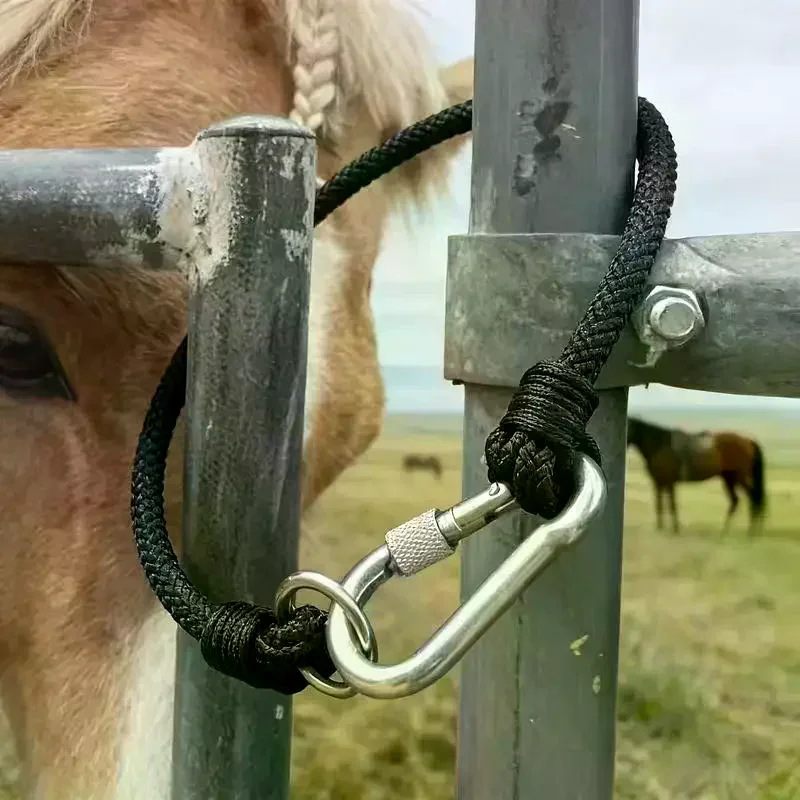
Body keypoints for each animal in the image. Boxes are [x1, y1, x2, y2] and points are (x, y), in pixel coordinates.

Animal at [626, 416, 766, 535]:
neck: (660, 445)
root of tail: (748, 441)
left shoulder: (669, 482)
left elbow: (672, 505)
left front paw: (675, 529)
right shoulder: (659, 482)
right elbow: (659, 504)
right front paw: (660, 529)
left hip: (739, 477)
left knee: (753, 497)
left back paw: (751, 532)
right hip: (729, 478)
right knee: (735, 501)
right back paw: (724, 532)